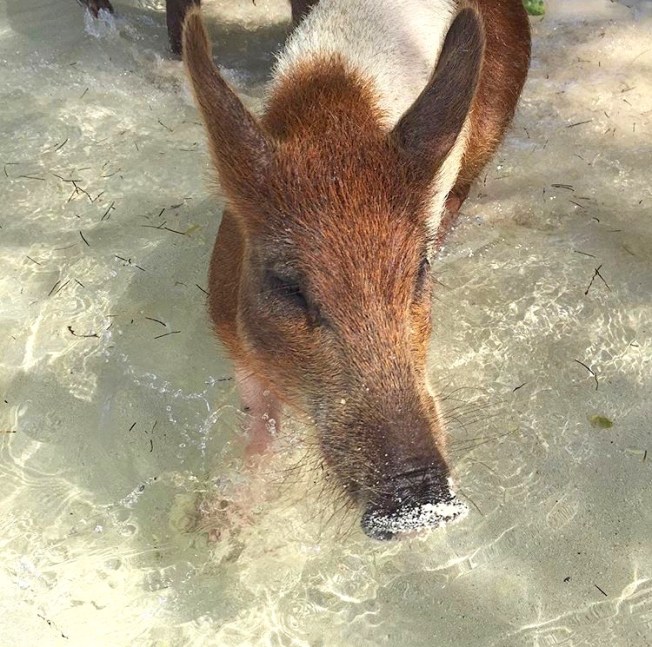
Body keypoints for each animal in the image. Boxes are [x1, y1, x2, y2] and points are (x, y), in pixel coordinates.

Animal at [182, 0, 531, 540]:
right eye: (288, 286)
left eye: (418, 273)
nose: (422, 506)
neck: (335, 117)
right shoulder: (228, 327)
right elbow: (260, 423)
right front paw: (208, 529)